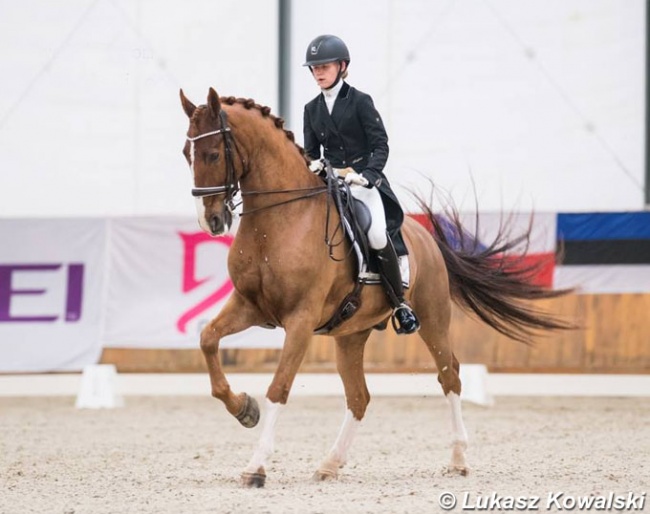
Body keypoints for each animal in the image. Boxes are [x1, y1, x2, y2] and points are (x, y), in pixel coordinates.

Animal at [180, 87, 568, 484]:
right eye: (185, 153)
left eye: (213, 154)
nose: (212, 221)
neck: (279, 219)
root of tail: (424, 236)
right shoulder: (249, 305)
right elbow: (208, 339)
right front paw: (245, 409)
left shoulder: (300, 320)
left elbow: (279, 387)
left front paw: (255, 466)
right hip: (351, 334)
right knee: (359, 397)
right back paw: (329, 464)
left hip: (432, 318)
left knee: (450, 376)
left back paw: (459, 458)